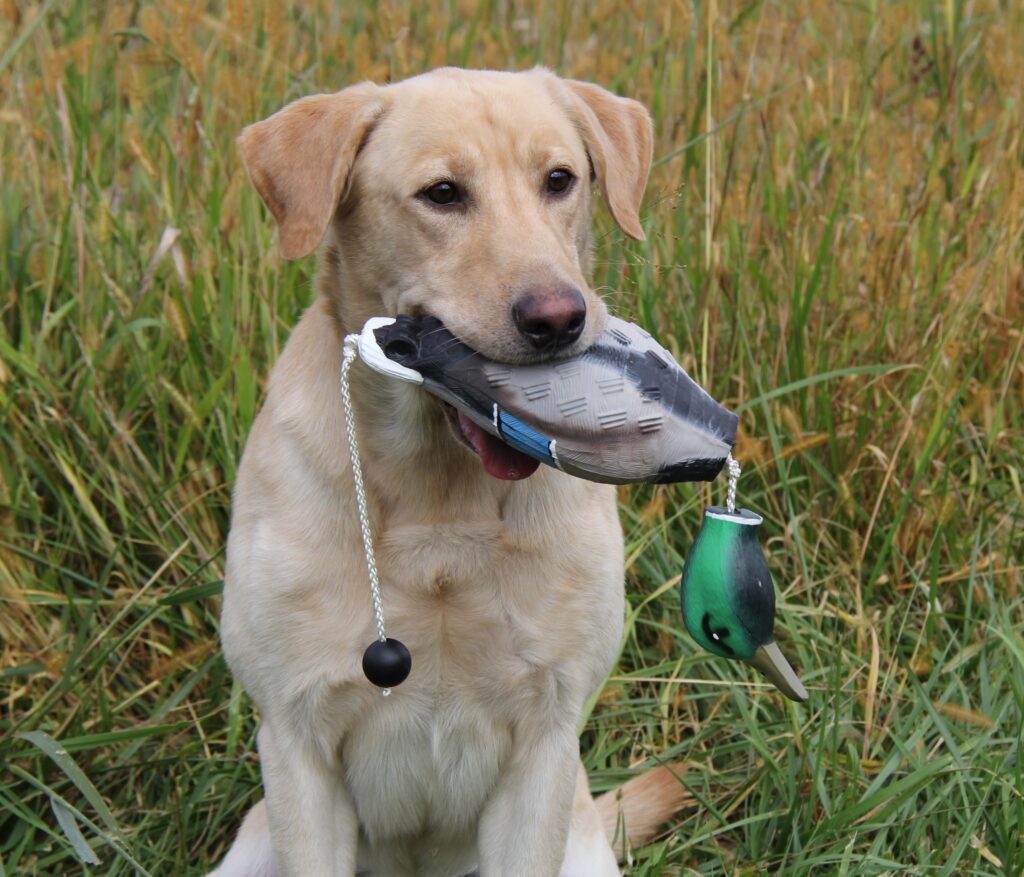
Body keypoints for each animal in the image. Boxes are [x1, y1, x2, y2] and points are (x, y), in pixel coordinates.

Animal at [206, 65, 684, 872]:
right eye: (442, 193)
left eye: (560, 180)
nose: (558, 319)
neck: (438, 492)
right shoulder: (298, 743)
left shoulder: (545, 743)